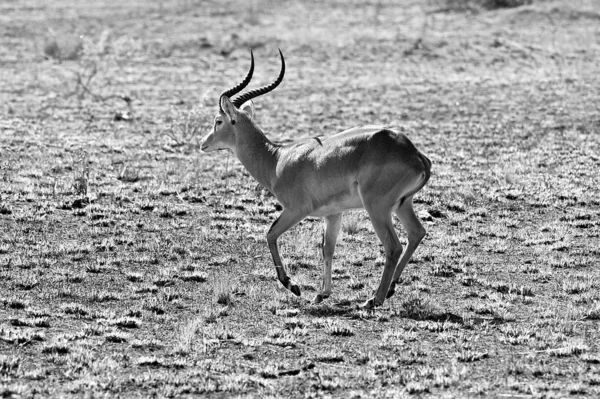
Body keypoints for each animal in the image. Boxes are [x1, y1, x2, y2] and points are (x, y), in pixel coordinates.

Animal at [202, 50, 432, 310]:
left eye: (218, 121)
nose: (203, 143)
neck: (277, 159)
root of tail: (414, 153)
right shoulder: (332, 214)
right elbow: (327, 249)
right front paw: (322, 293)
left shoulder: (296, 210)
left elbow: (270, 234)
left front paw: (293, 286)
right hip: (403, 205)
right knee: (417, 233)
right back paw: (391, 289)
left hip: (377, 208)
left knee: (393, 247)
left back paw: (374, 299)